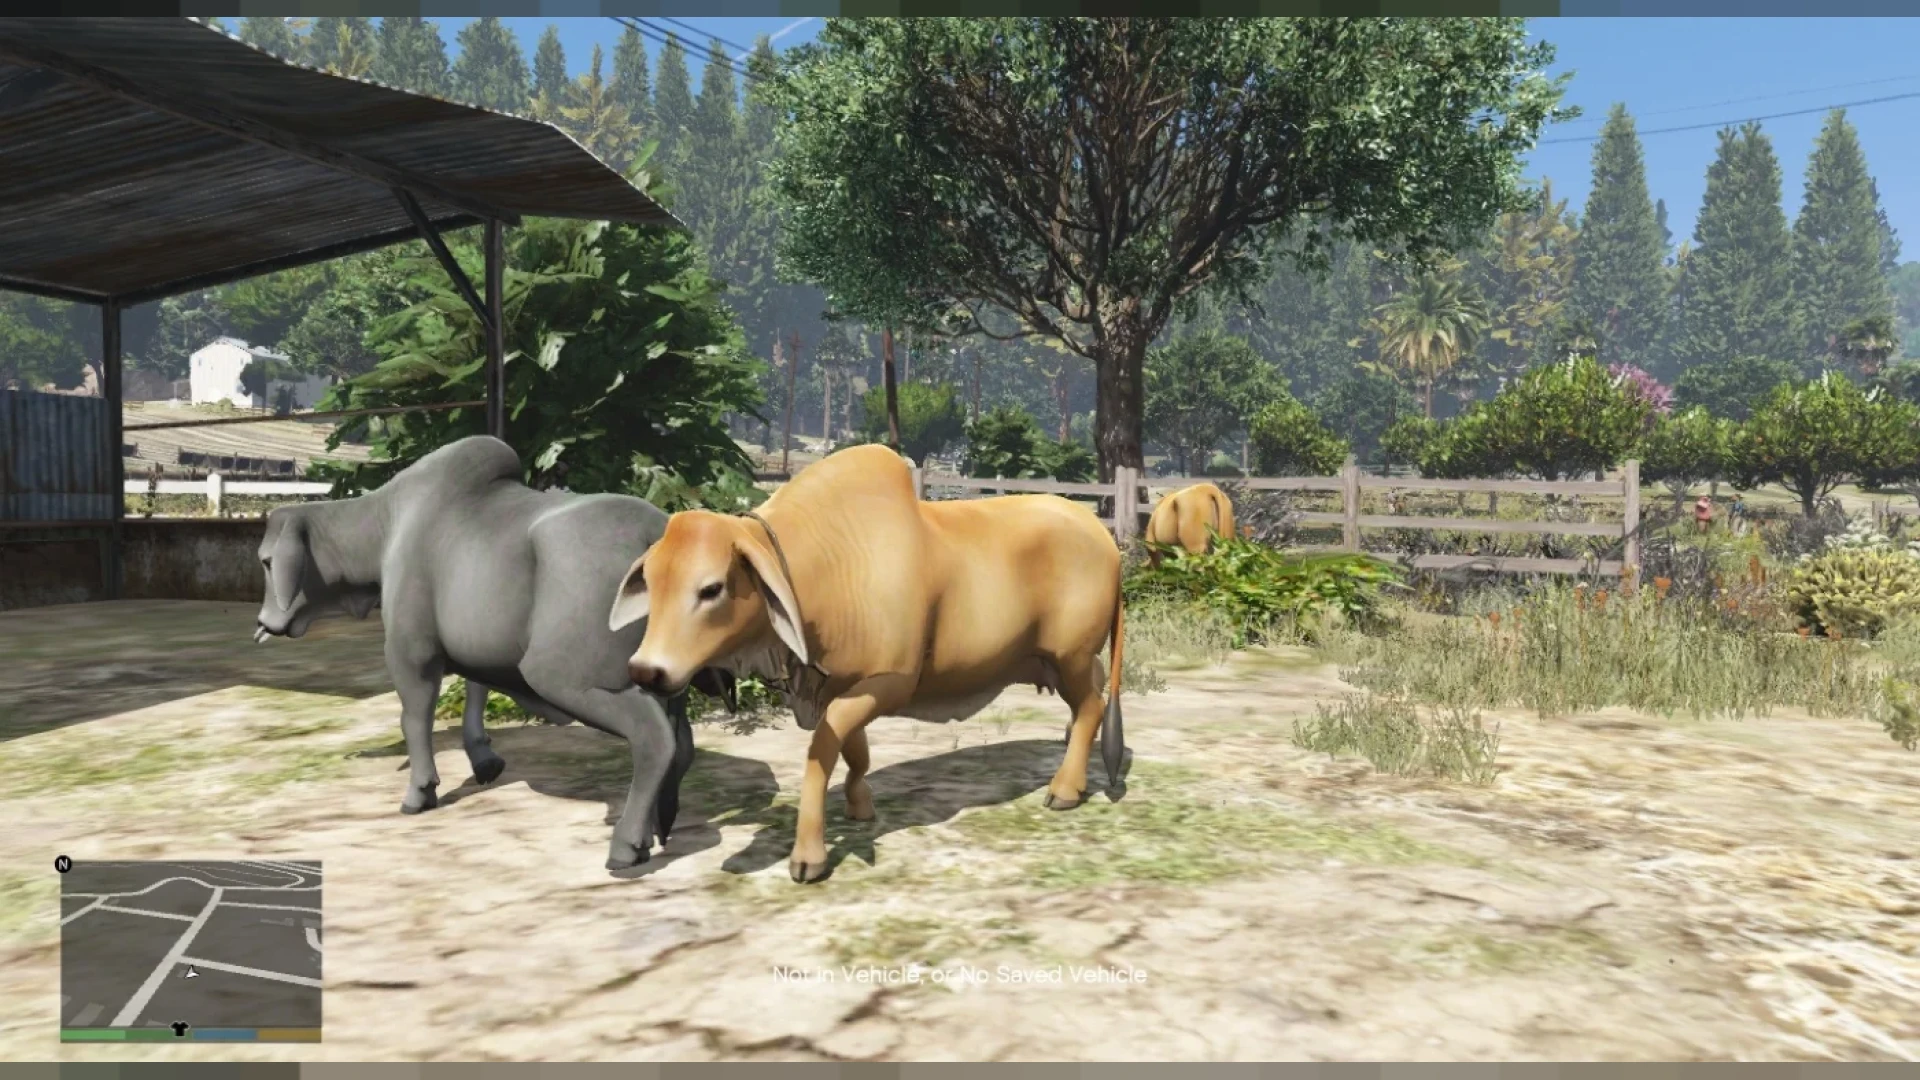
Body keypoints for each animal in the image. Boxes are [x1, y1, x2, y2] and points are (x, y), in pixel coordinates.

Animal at [253, 435, 731, 871]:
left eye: (265, 561)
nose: (263, 622)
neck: (386, 524)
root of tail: (656, 532)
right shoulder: (476, 649)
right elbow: (475, 691)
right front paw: (483, 760)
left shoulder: (411, 652)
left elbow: (415, 717)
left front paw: (420, 792)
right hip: (661, 681)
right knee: (682, 743)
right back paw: (657, 828)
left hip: (566, 677)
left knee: (655, 740)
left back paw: (626, 847)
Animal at [607, 443, 1127, 884]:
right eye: (651, 582)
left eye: (711, 589)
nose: (646, 671)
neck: (821, 573)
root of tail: (1101, 535)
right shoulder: (840, 685)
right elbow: (853, 749)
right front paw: (860, 807)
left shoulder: (890, 682)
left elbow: (823, 749)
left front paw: (809, 855)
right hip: (1064, 662)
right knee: (1092, 699)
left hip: (1071, 656)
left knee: (1091, 707)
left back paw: (1065, 788)